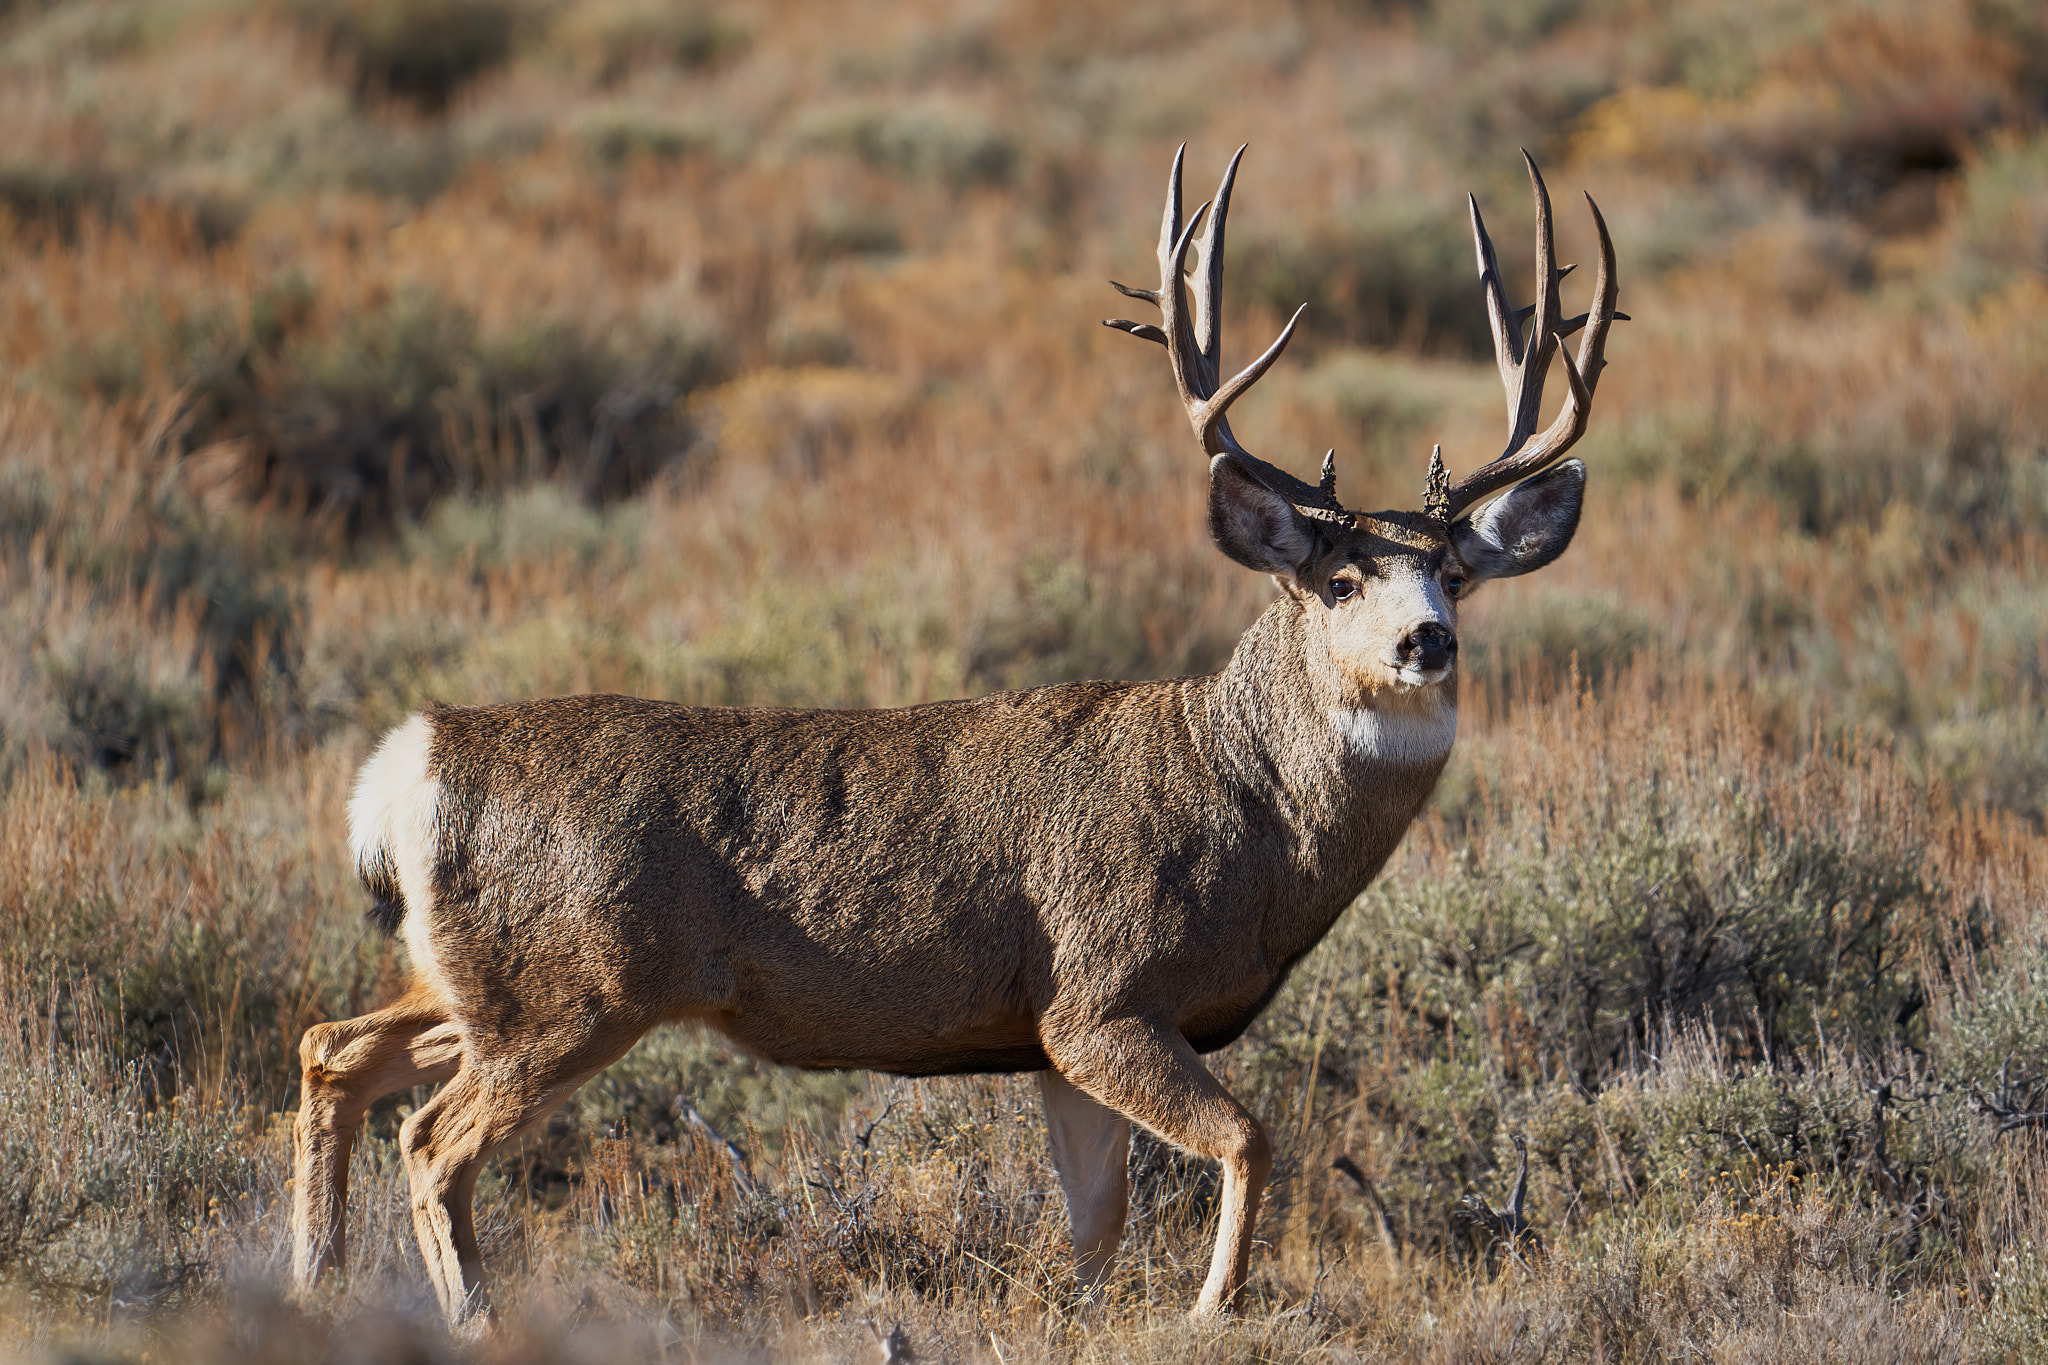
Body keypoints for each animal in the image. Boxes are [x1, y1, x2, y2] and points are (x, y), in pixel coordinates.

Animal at [290, 145, 1621, 1322]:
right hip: (567, 986)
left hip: (471, 973)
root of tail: (410, 762)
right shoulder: (1099, 991)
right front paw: (1212, 1313)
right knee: (432, 1140)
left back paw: (311, 1288)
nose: (1426, 641)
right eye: (1339, 580)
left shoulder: (1044, 1041)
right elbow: (1247, 1139)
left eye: (1455, 572)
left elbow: (1094, 1228)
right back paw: (467, 1318)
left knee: (330, 1049)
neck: (1242, 810)